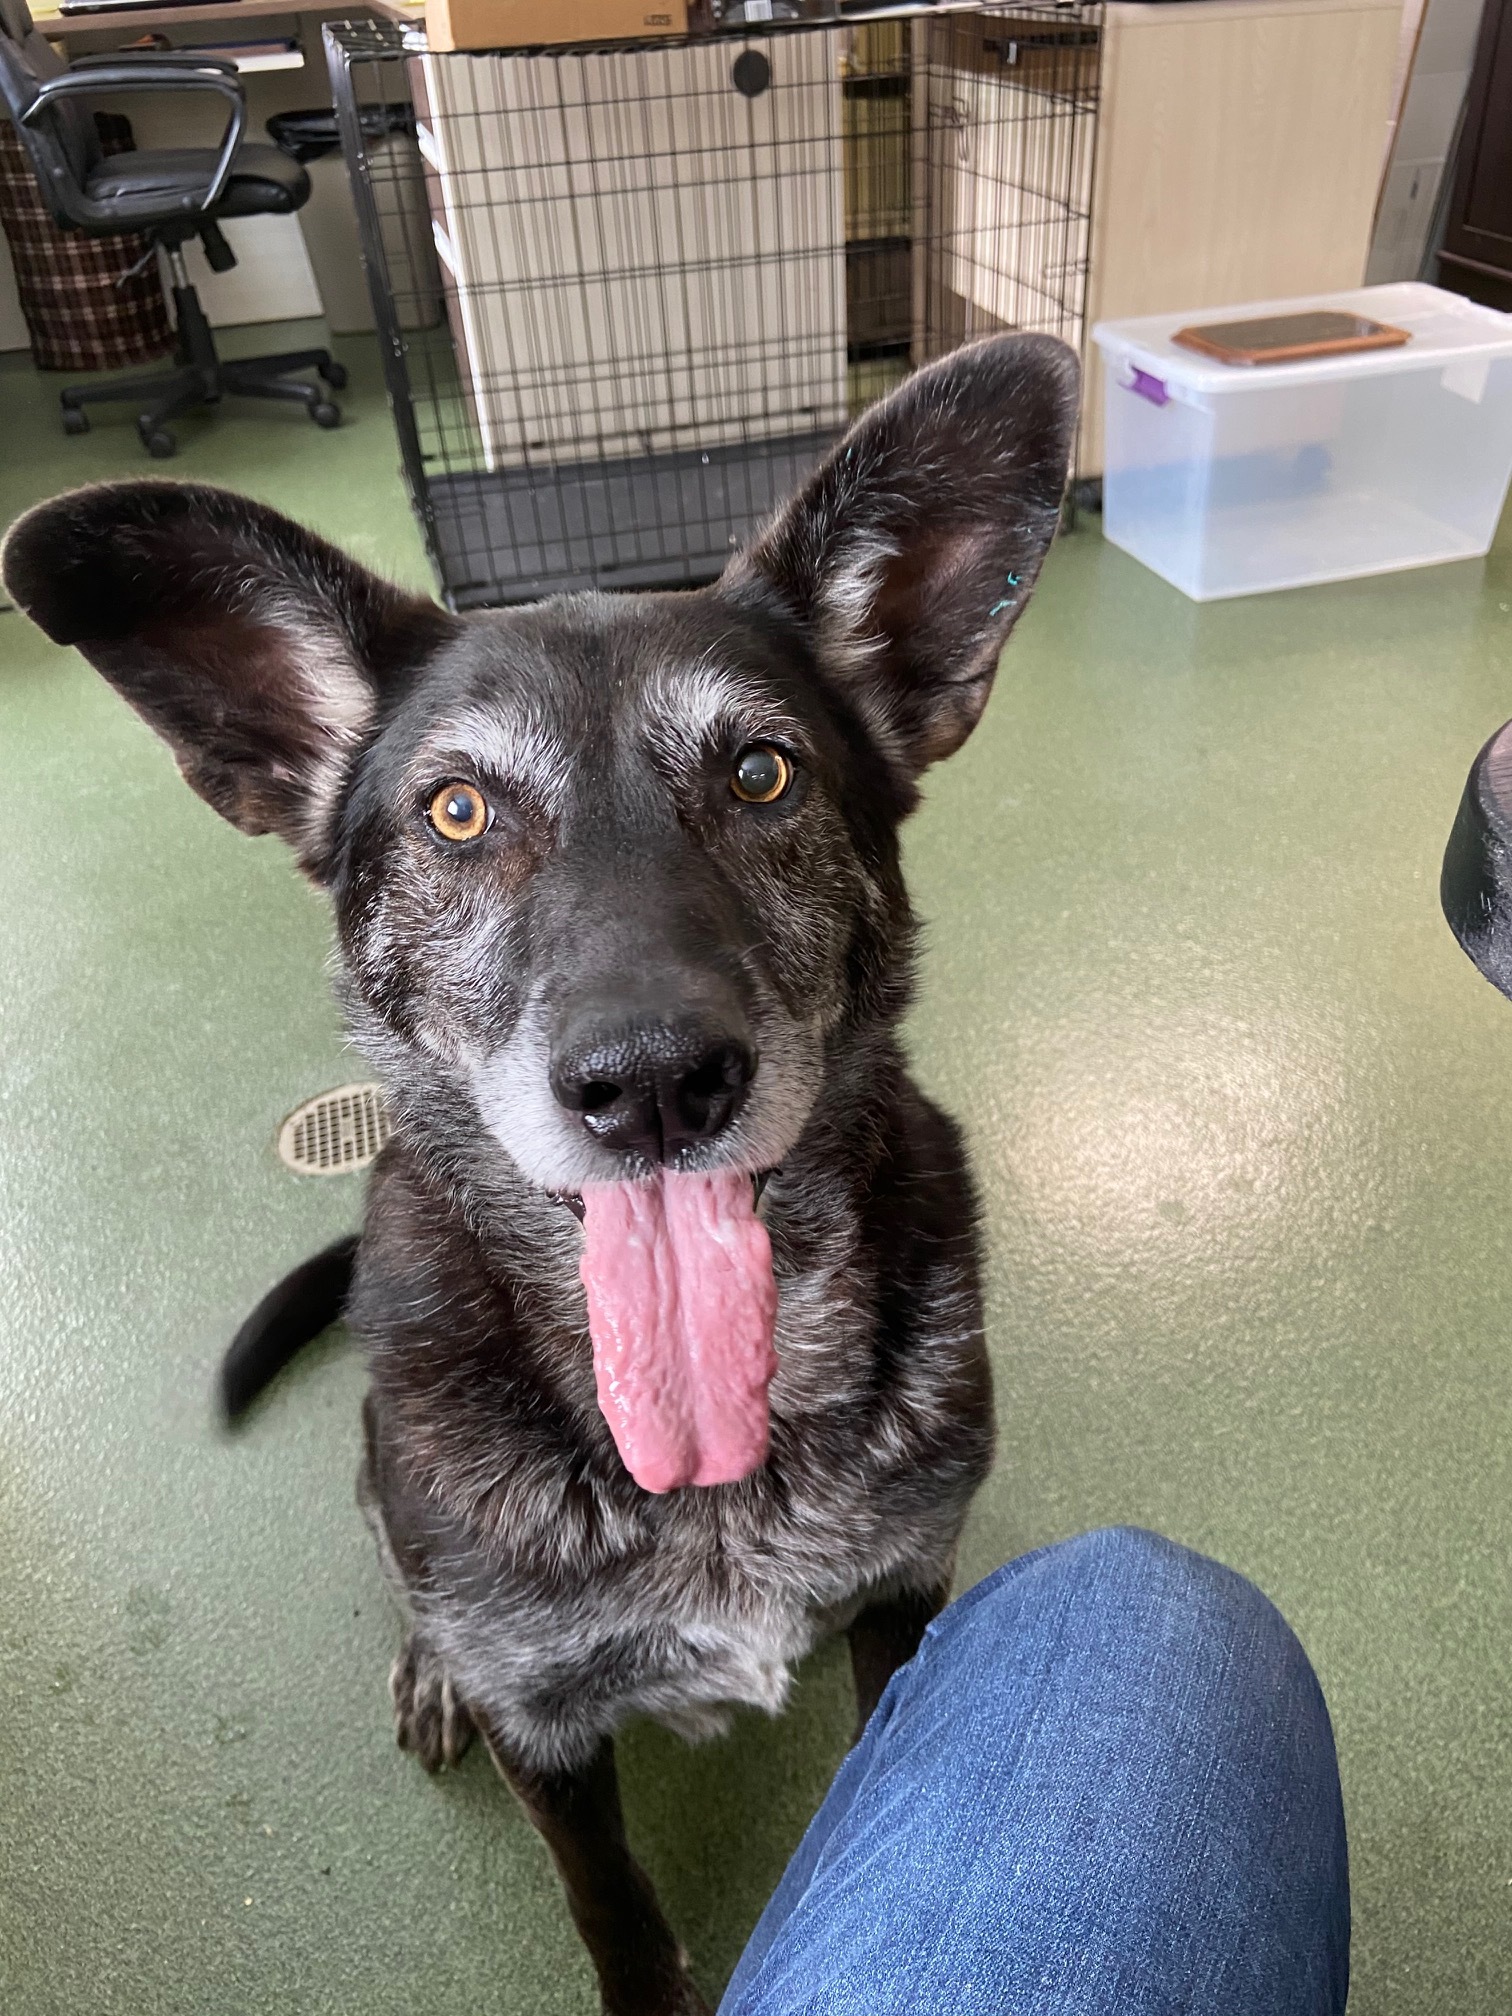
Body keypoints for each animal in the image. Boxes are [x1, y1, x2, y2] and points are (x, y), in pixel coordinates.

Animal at [5, 338, 1080, 2007]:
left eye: (762, 775)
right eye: (458, 811)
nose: (654, 1085)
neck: (708, 1473)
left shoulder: (906, 1608)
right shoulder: (548, 1723)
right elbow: (608, 1899)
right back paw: (423, 1667)